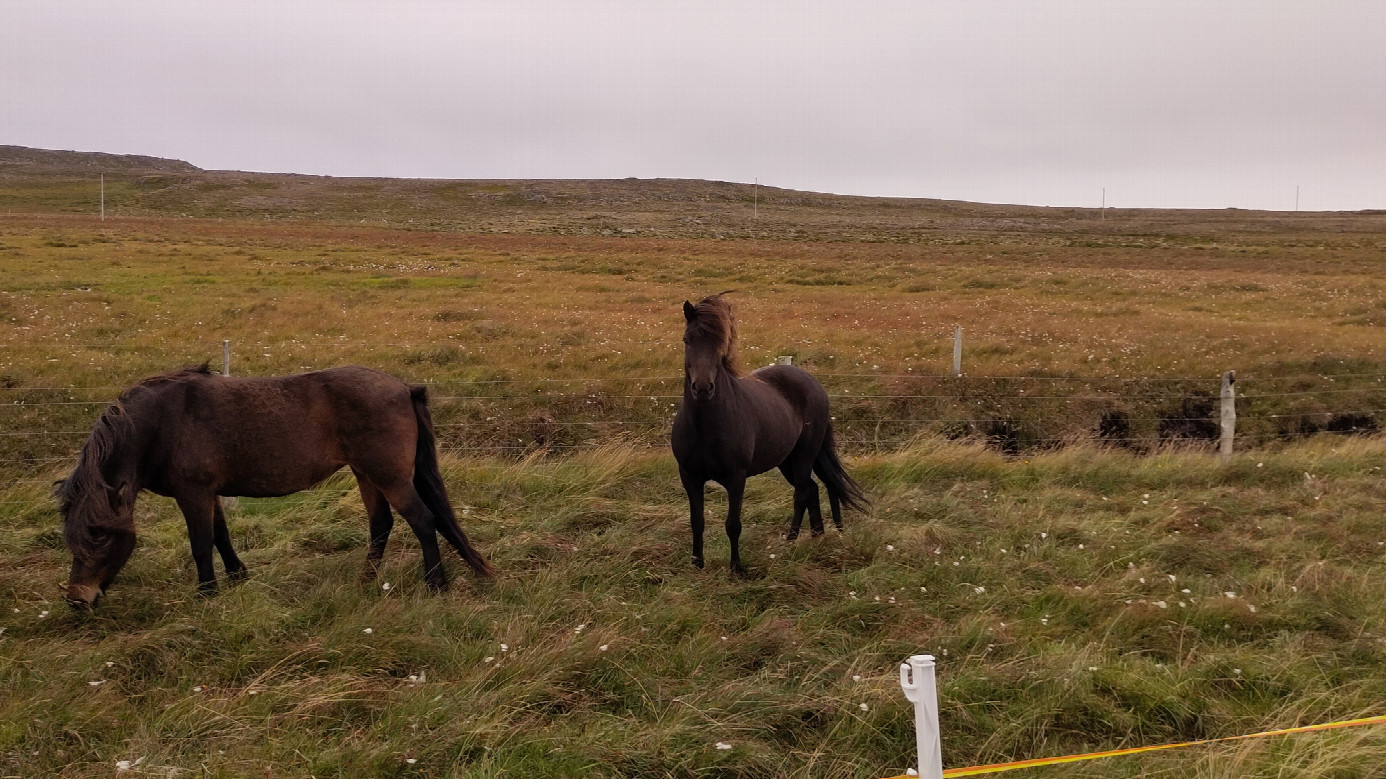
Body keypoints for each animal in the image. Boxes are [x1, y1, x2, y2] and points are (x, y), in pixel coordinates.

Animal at [56, 363, 496, 607]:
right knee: (381, 525)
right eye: (73, 537)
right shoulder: (210, 493)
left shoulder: (193, 492)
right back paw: (367, 580)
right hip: (366, 474)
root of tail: (404, 388)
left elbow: (201, 544)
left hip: (389, 476)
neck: (162, 422)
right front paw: (237, 577)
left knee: (422, 521)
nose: (78, 599)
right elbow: (221, 536)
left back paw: (435, 584)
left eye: (101, 535)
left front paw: (207, 595)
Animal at [670, 291, 864, 571]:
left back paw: (790, 541)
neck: (704, 425)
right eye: (687, 340)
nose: (703, 388)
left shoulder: (736, 478)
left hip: (804, 456)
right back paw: (816, 536)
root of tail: (813, 383)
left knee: (802, 493)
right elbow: (697, 522)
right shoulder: (690, 477)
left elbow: (733, 525)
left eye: (721, 343)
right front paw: (697, 564)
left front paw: (737, 568)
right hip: (786, 460)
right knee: (812, 490)